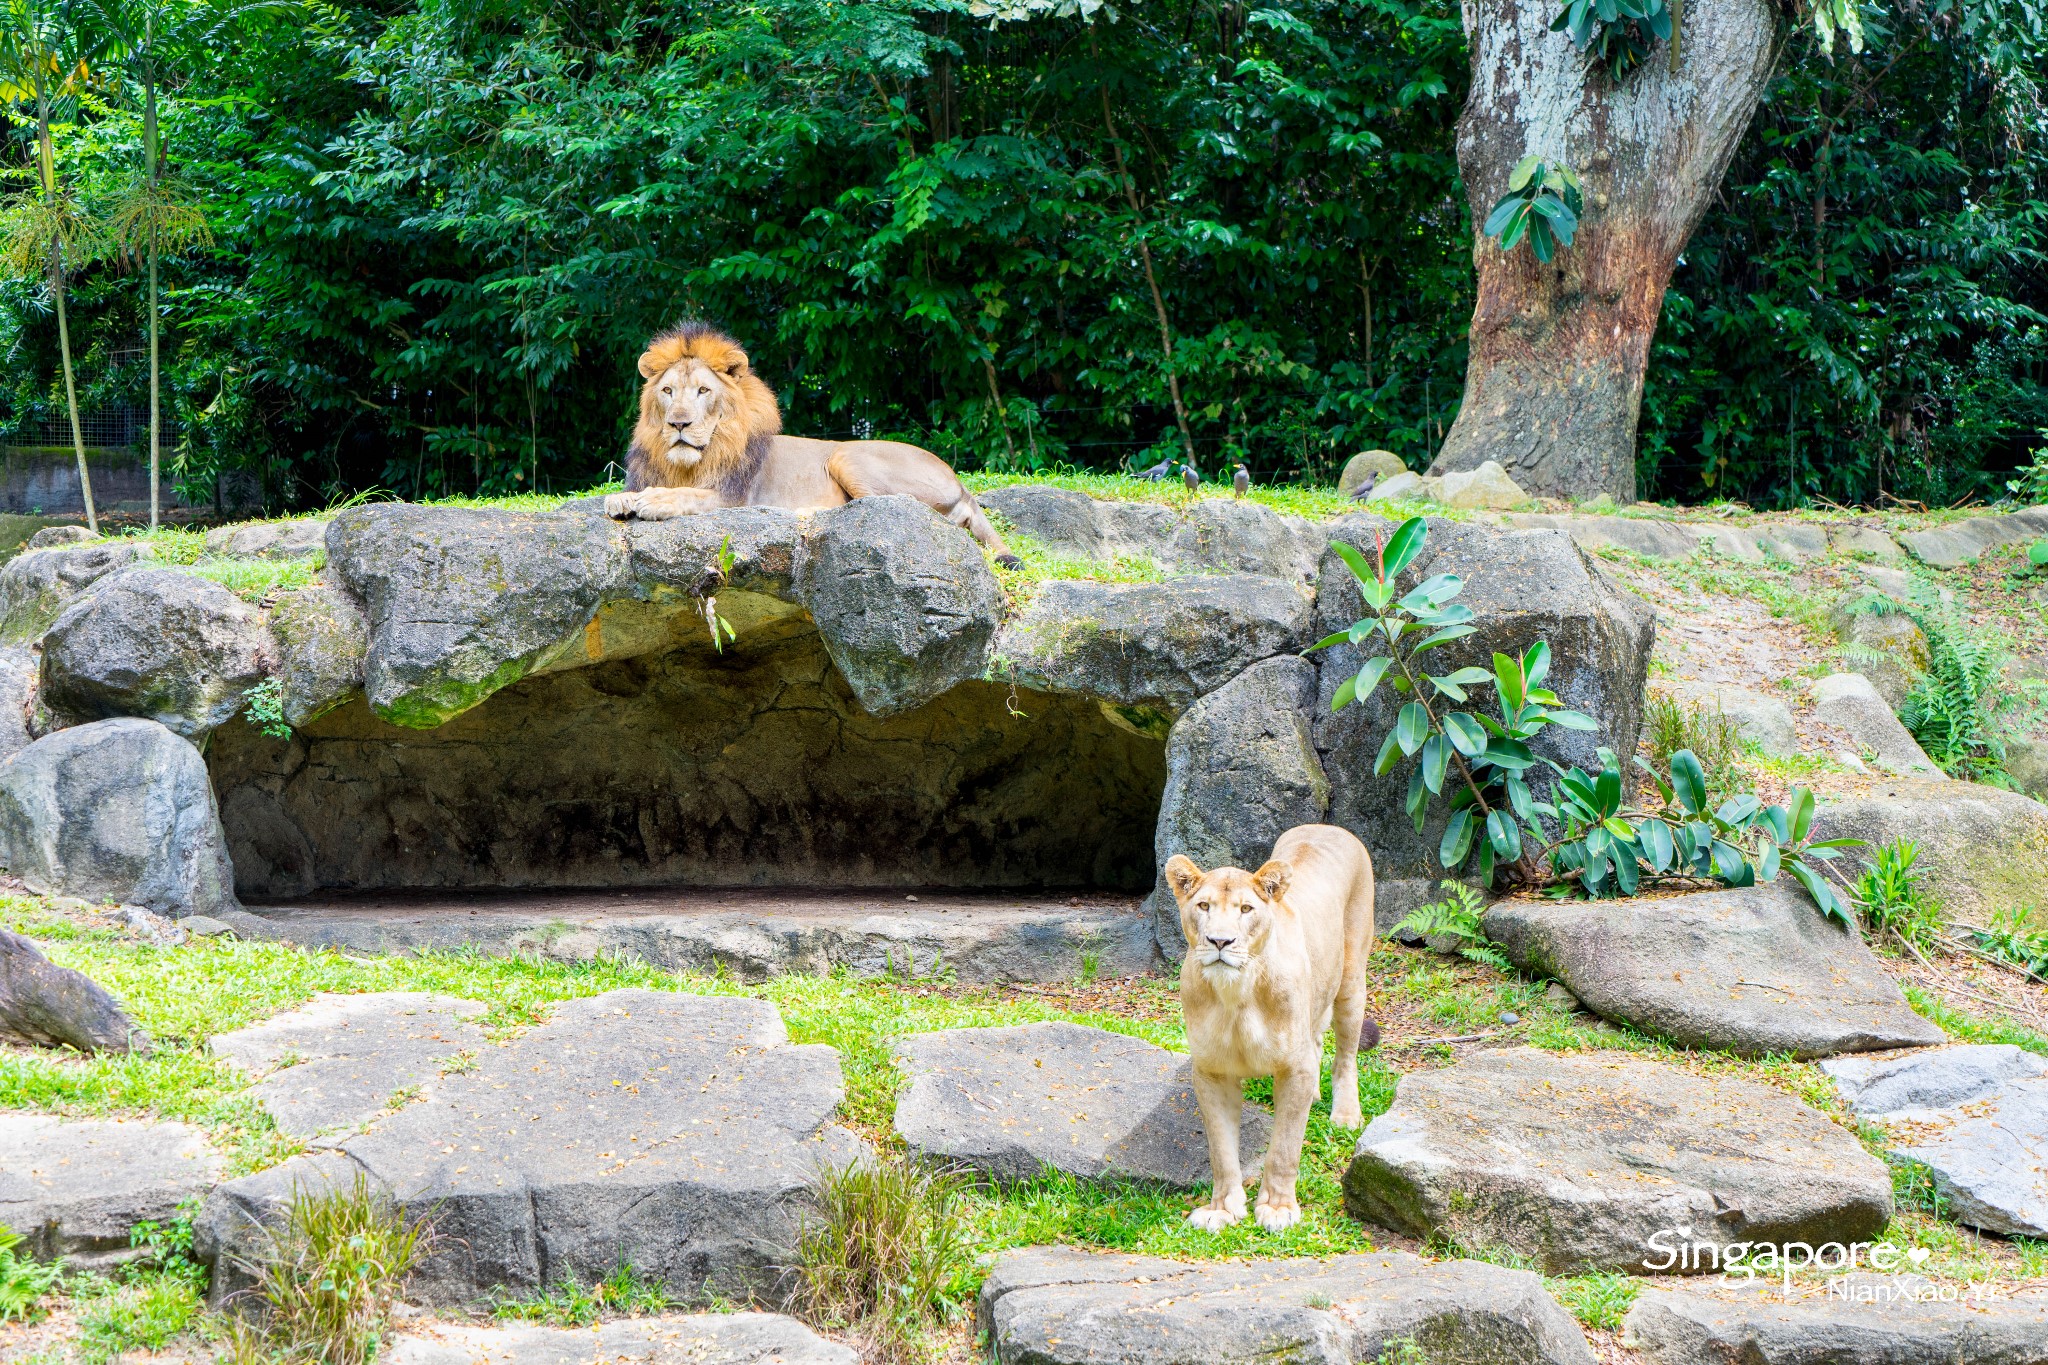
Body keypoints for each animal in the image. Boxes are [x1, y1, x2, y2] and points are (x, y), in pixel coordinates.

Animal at [606, 321, 1024, 564]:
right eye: (668, 391)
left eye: (703, 391)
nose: (679, 423)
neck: (688, 461)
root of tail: (961, 484)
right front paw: (621, 499)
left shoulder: (733, 498)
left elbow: (687, 496)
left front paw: (654, 500)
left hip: (846, 454)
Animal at [1171, 826, 1376, 1236]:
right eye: (1204, 906)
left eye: (1245, 909)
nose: (1220, 941)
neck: (1236, 995)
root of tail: (1329, 827)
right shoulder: (1211, 1072)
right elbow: (1221, 1150)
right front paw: (1222, 1210)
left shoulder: (1294, 1069)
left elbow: (1283, 1148)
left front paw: (1278, 1208)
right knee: (1317, 1039)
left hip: (1351, 980)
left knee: (1345, 1056)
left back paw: (1345, 1115)